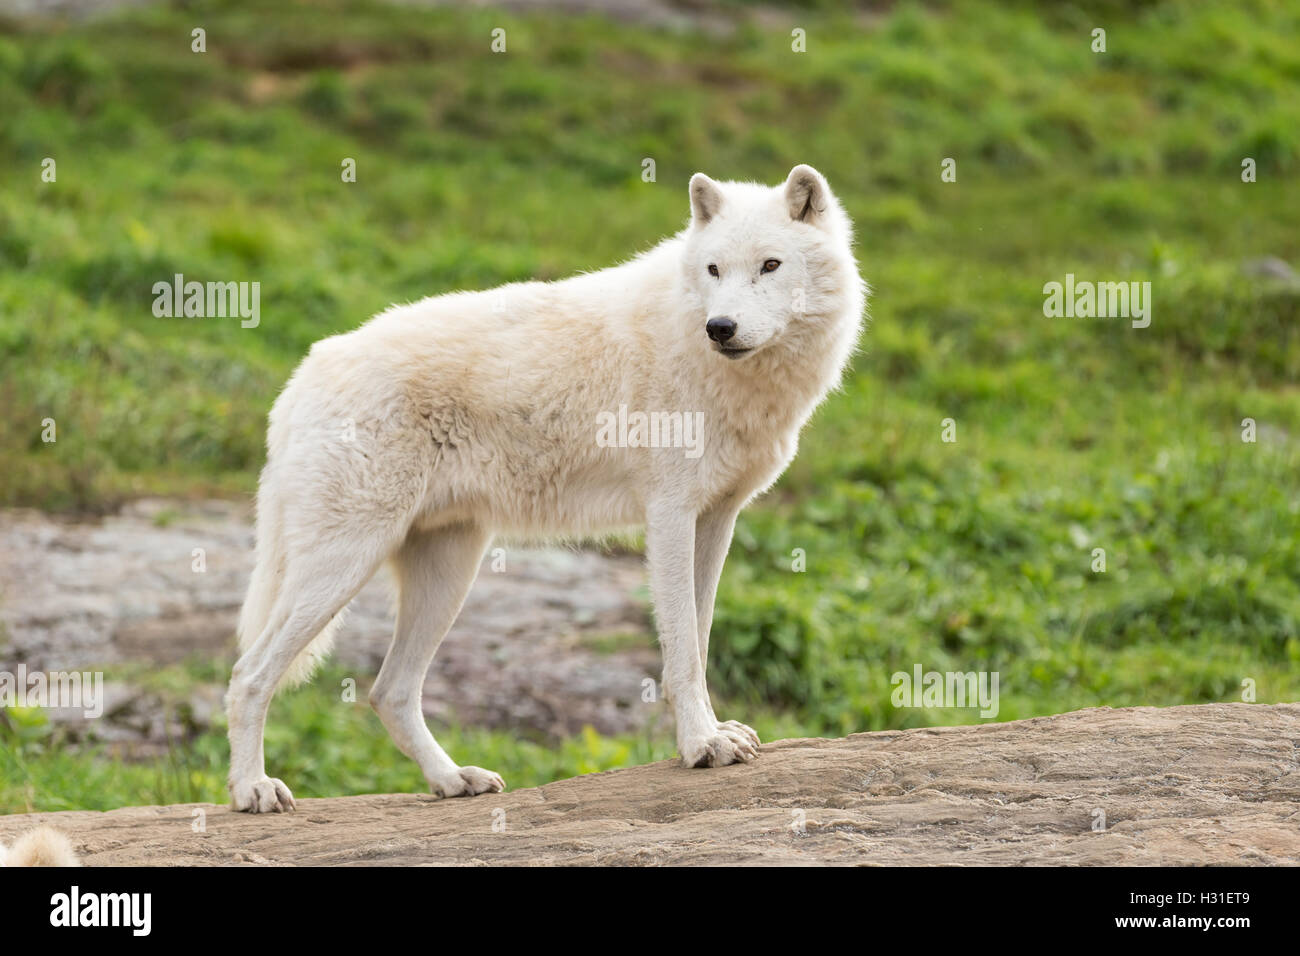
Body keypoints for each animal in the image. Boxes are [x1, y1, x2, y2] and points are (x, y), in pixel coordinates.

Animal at [226, 164, 867, 812]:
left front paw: (713, 732)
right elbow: (683, 651)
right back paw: (253, 788)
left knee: (389, 691)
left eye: (770, 265)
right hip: (345, 565)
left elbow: (701, 639)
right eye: (714, 270)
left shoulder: (715, 520)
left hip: (448, 572)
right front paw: (701, 746)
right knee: (249, 675)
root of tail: (303, 374)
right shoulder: (669, 516)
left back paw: (452, 780)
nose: (721, 327)